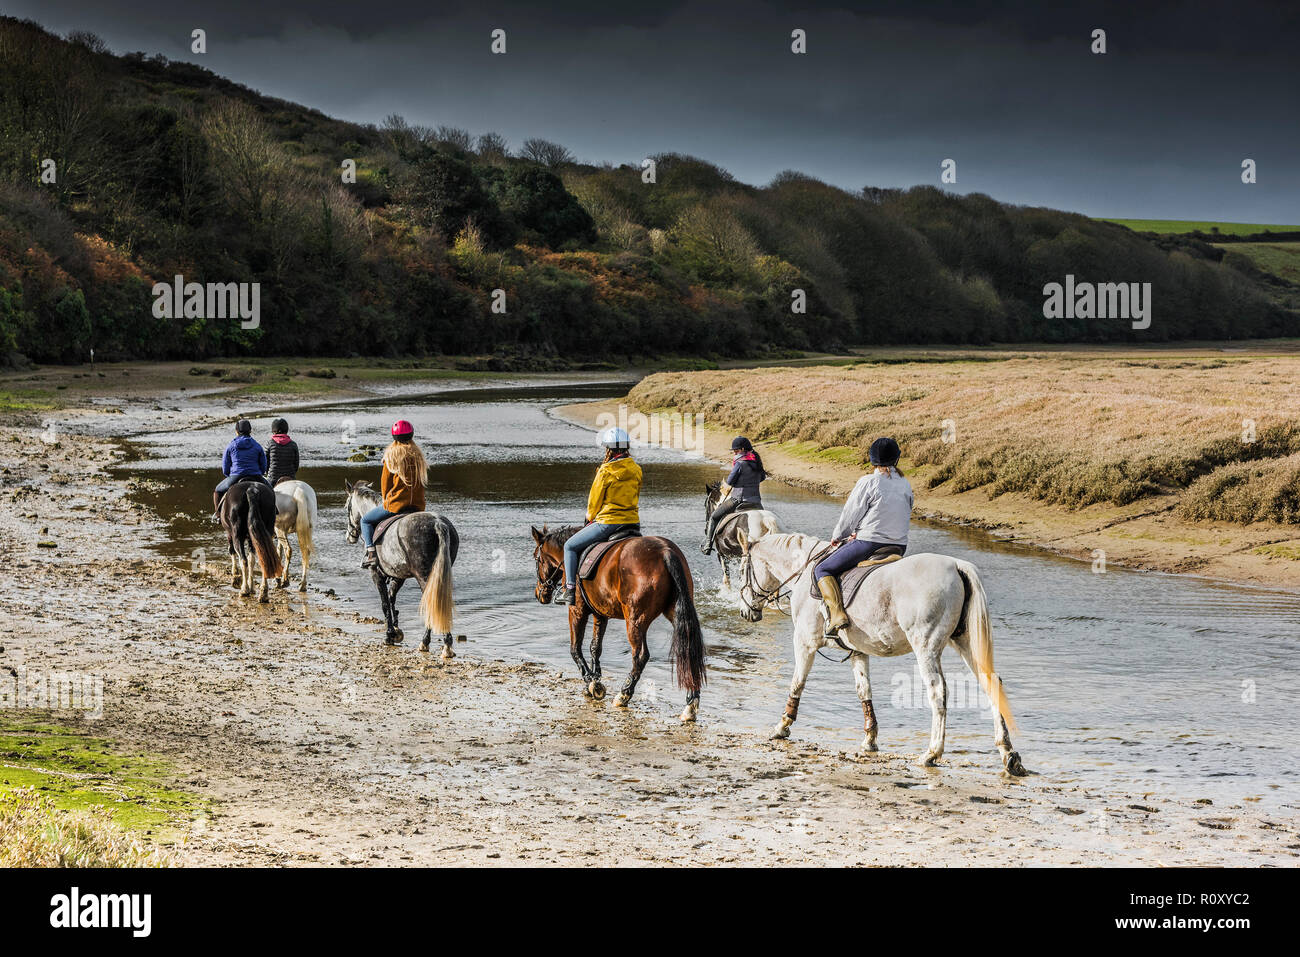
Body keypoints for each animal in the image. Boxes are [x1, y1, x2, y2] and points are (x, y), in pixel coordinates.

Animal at [530, 527, 707, 722]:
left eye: (536, 558)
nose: (539, 593)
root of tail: (665, 551)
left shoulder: (577, 611)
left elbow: (575, 649)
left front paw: (591, 682)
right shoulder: (600, 614)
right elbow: (595, 647)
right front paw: (595, 679)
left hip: (635, 620)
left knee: (640, 656)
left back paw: (624, 694)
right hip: (675, 613)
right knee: (688, 650)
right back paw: (691, 703)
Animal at [733, 530, 1024, 780]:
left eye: (741, 570)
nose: (746, 612)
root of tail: (956, 565)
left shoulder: (804, 642)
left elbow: (797, 684)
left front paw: (782, 727)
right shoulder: (858, 651)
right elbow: (864, 691)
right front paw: (870, 739)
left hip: (926, 647)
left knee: (938, 692)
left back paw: (931, 754)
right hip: (966, 643)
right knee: (990, 683)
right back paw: (1008, 754)